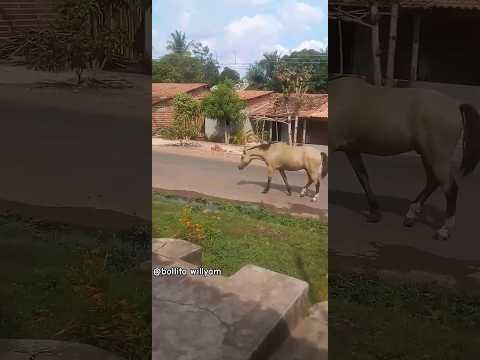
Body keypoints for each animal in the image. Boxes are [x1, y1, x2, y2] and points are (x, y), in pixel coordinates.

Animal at [332, 76, 480, 239]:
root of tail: (456, 105)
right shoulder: (352, 151)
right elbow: (363, 178)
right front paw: (375, 213)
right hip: (427, 155)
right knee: (432, 181)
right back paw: (411, 215)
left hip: (438, 157)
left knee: (450, 188)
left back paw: (444, 230)